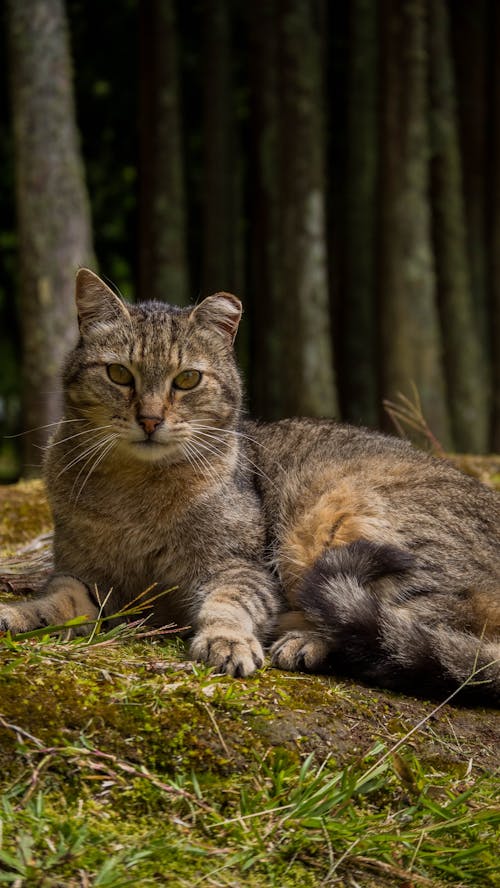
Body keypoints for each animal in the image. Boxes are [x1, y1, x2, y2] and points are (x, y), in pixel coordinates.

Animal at [0, 268, 498, 704]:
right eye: (119, 374)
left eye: (187, 379)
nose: (150, 419)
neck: (138, 492)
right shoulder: (82, 576)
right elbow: (52, 602)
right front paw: (17, 614)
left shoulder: (240, 567)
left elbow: (229, 603)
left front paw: (227, 640)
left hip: (341, 523)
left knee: (405, 623)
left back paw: (304, 639)